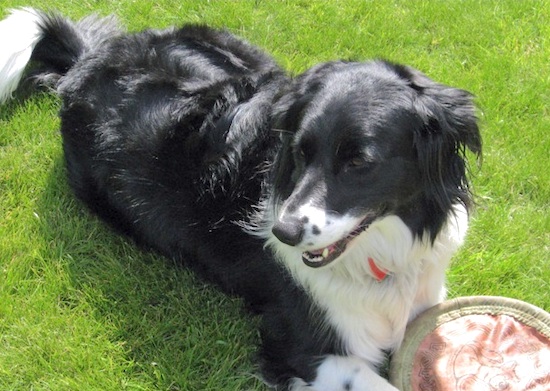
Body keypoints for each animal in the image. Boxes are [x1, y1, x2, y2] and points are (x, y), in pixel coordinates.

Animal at [0, 7, 480, 390]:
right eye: (300, 152)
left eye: (359, 161)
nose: (284, 233)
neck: (383, 258)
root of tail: (86, 60)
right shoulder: (298, 346)